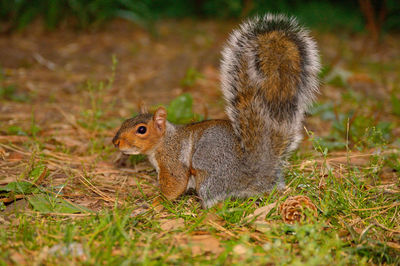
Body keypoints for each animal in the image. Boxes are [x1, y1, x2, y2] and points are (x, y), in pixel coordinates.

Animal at [111, 14, 320, 208]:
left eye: (141, 129)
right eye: (125, 121)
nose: (116, 142)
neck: (165, 140)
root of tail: (254, 175)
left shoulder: (173, 160)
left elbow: (175, 184)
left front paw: (154, 201)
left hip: (209, 175)